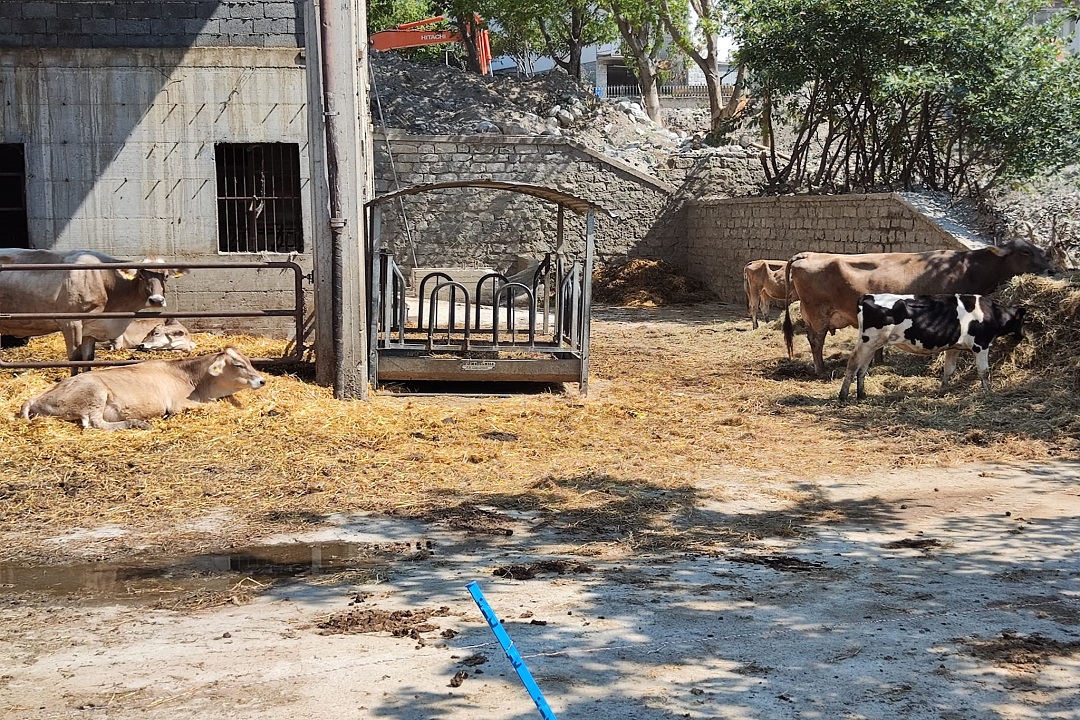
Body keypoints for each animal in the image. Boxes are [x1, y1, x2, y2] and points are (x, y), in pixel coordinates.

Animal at [0, 249, 190, 371]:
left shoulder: (91, 328)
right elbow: (75, 359)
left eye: (166, 276)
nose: (156, 300)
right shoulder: (70, 321)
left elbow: (88, 359)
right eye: (141, 275)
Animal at [19, 347, 264, 431]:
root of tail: (38, 397)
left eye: (249, 361)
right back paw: (137, 423)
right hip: (95, 393)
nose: (262, 381)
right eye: (238, 365)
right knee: (95, 424)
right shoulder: (178, 404)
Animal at [786, 241, 1054, 377]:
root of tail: (808, 254)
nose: (1051, 269)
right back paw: (821, 371)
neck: (968, 267)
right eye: (1025, 251)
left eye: (1040, 250)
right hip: (818, 313)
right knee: (816, 341)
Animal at [838, 293, 1023, 405]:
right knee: (853, 365)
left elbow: (949, 369)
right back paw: (843, 397)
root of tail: (868, 296)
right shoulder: (981, 345)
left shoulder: (954, 347)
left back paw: (862, 396)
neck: (991, 313)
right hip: (868, 341)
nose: (1022, 336)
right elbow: (984, 371)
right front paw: (987, 392)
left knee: (862, 369)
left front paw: (942, 391)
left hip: (873, 344)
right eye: (1024, 320)